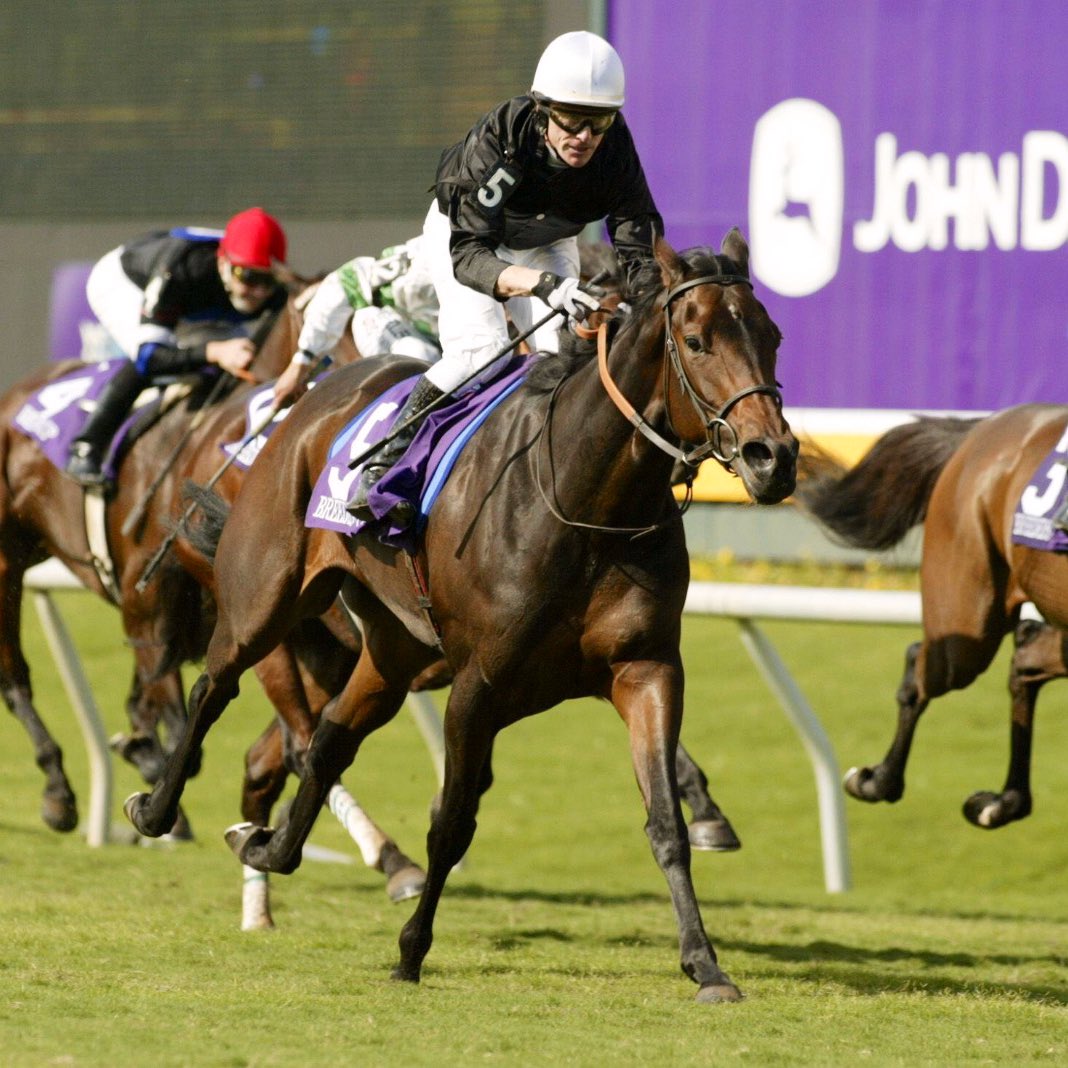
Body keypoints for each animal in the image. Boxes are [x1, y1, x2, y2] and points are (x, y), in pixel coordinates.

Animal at [124, 231, 798, 999]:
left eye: (772, 336)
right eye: (695, 340)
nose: (773, 456)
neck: (586, 500)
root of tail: (308, 401)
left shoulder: (645, 668)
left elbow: (666, 822)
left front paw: (705, 963)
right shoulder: (479, 684)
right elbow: (451, 821)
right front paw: (411, 950)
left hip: (392, 650)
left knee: (324, 740)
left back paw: (267, 845)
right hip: (265, 601)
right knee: (215, 687)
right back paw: (156, 809)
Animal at [794, 403, 1068, 828]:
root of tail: (983, 428)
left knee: (1026, 654)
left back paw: (1003, 801)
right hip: (967, 619)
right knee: (923, 666)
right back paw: (877, 780)